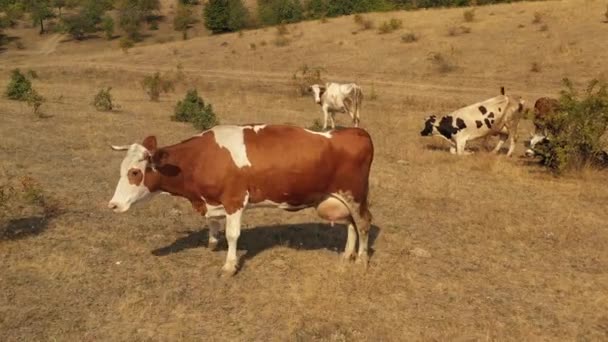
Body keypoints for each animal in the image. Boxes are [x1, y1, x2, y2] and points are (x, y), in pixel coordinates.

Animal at [110, 124, 376, 276]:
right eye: (121, 169)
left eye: (135, 172)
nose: (113, 205)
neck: (200, 158)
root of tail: (355, 131)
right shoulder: (213, 201)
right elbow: (213, 224)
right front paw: (212, 242)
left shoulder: (234, 199)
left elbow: (232, 235)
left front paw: (229, 265)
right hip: (338, 198)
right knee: (350, 224)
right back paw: (347, 255)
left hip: (355, 194)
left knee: (363, 223)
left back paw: (361, 260)